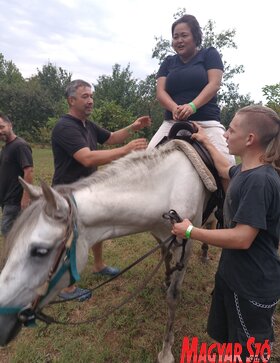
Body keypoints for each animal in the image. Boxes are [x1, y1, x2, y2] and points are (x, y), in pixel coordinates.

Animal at [0, 140, 215, 363]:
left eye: (40, 251)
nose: (2, 322)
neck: (169, 188)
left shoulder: (186, 246)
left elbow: (173, 296)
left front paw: (166, 351)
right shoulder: (160, 235)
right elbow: (166, 255)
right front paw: (166, 279)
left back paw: (205, 254)